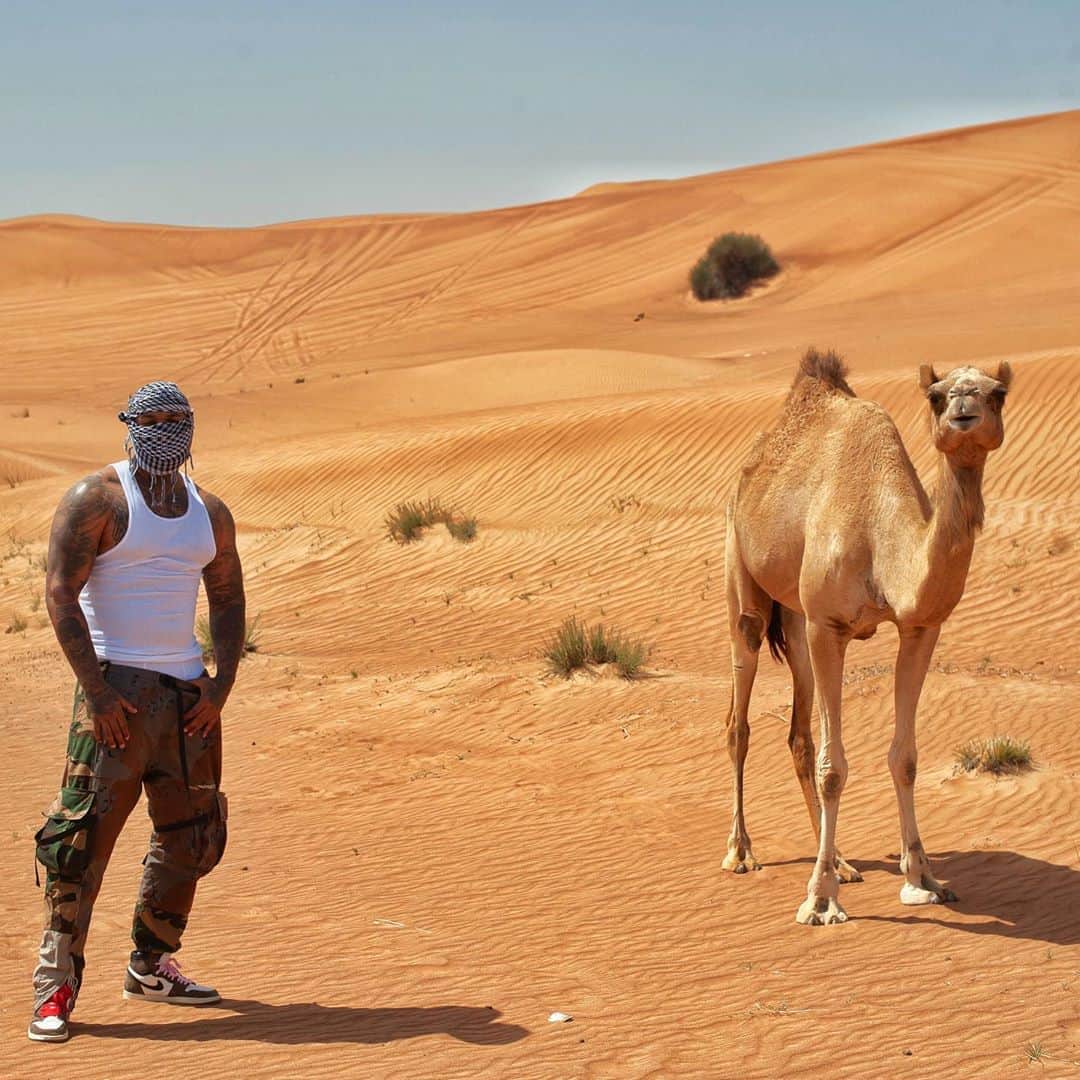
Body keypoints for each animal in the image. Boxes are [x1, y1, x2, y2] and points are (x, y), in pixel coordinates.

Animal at [722, 348, 1012, 924]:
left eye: (998, 393)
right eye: (937, 395)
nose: (964, 413)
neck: (884, 539)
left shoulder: (919, 627)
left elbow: (905, 757)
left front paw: (924, 877)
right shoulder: (828, 624)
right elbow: (835, 768)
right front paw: (819, 900)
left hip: (795, 618)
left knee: (799, 734)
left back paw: (839, 860)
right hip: (742, 577)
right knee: (739, 722)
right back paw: (742, 852)